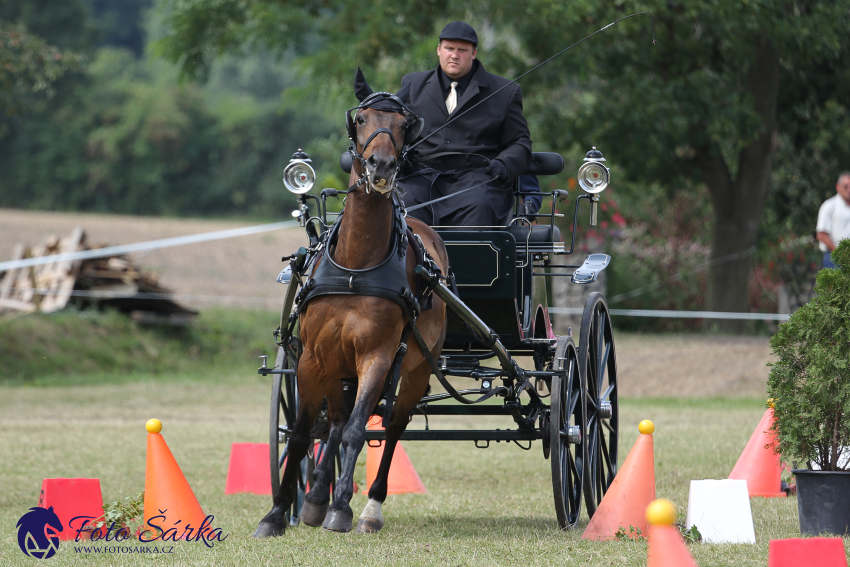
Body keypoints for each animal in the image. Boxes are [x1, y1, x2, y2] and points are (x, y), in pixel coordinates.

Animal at [253, 85, 448, 536]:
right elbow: (303, 434)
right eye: (360, 119)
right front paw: (278, 512)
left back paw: (369, 505)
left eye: (404, 124)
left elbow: (359, 430)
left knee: (392, 427)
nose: (382, 165)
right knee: (334, 423)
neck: (355, 267)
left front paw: (342, 507)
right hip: (337, 365)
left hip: (415, 369)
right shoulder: (312, 357)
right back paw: (313, 499)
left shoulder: (377, 356)